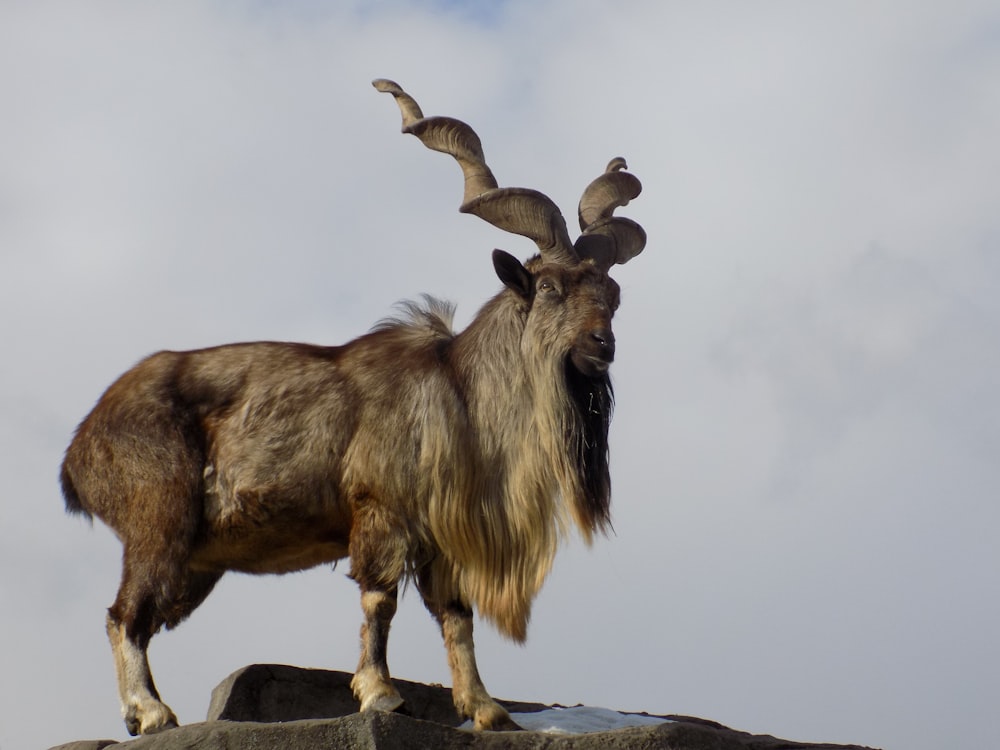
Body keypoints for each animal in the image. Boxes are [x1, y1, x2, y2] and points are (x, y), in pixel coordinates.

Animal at [62, 79, 644, 736]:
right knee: (125, 613)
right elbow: (379, 600)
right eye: (547, 287)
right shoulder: (380, 512)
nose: (601, 345)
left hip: (195, 559)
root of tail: (82, 445)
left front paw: (487, 709)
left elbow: (456, 616)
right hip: (157, 518)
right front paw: (381, 695)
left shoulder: (441, 540)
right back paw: (152, 712)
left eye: (612, 294)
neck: (461, 394)